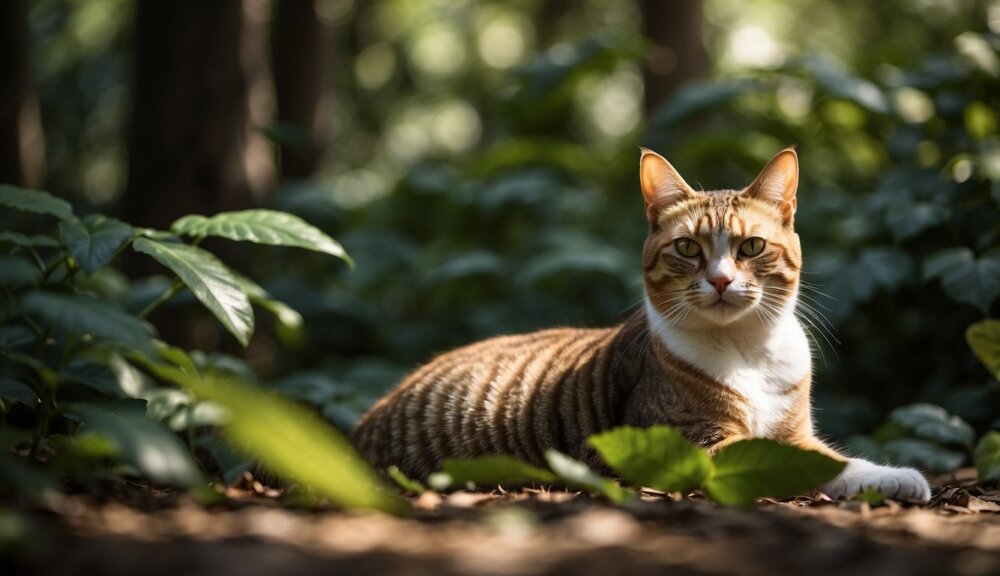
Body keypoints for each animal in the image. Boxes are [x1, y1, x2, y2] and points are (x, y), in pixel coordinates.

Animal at [352, 146, 928, 502]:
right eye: (688, 249)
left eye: (751, 247)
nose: (721, 280)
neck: (746, 351)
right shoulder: (687, 446)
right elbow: (782, 460)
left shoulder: (796, 430)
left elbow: (837, 459)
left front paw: (897, 478)